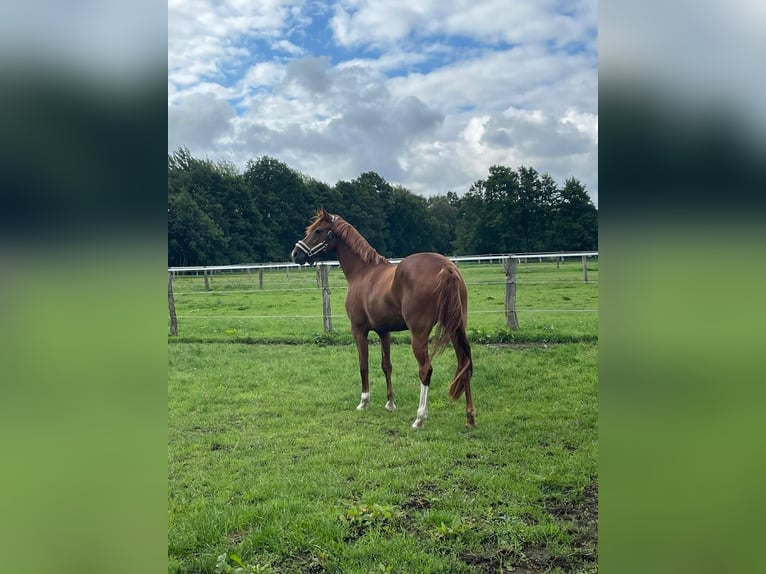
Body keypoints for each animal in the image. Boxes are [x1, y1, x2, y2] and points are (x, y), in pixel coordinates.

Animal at [291, 208, 475, 428]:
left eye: (318, 231)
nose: (296, 253)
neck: (362, 271)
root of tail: (446, 267)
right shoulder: (383, 331)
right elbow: (386, 365)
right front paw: (390, 403)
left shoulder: (359, 330)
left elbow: (363, 365)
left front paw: (364, 402)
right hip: (456, 328)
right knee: (465, 364)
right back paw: (470, 418)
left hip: (419, 334)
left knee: (426, 370)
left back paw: (419, 418)